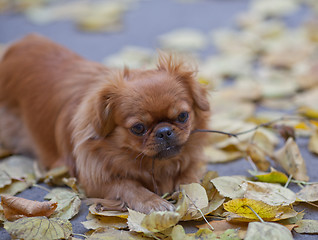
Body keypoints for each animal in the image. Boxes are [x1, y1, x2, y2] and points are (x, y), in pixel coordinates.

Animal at [0, 34, 210, 213]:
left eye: (182, 116)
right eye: (138, 128)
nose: (164, 131)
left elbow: (190, 179)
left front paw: (191, 194)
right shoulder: (96, 181)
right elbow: (129, 186)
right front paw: (153, 202)